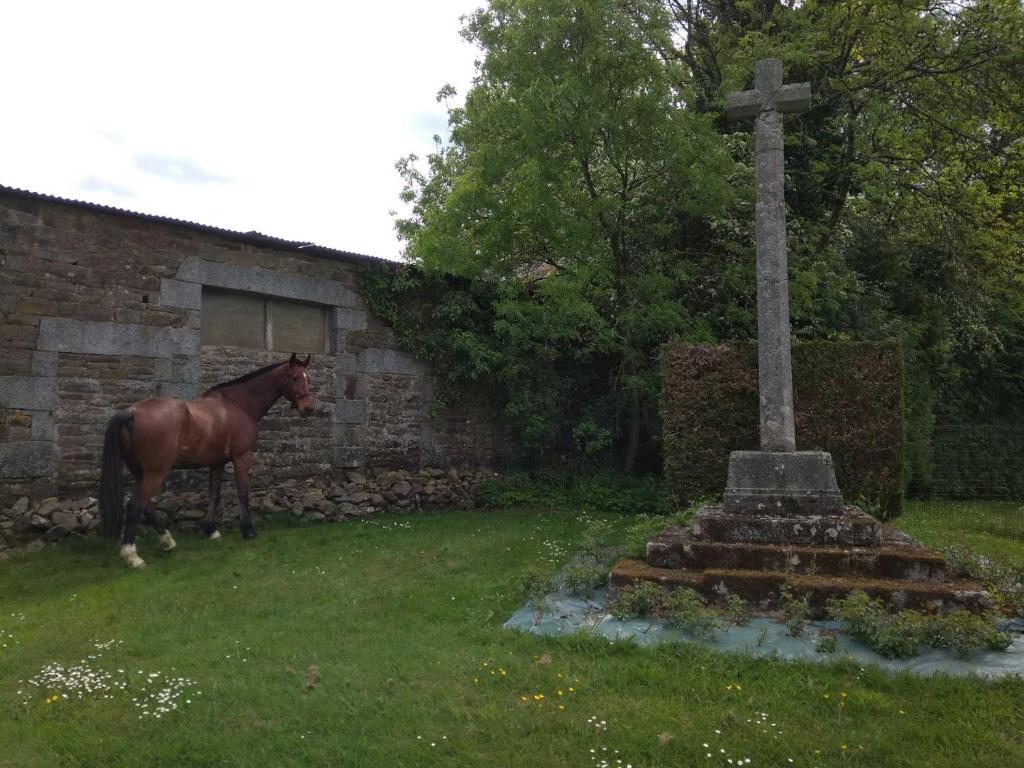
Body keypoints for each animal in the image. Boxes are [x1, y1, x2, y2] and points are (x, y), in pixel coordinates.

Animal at [100, 358, 315, 569]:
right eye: (294, 377)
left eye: (308, 377)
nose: (308, 408)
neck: (238, 404)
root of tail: (131, 412)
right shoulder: (242, 457)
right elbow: (242, 493)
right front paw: (248, 531)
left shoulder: (217, 463)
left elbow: (214, 494)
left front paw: (211, 530)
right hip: (156, 472)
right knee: (135, 505)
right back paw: (132, 556)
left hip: (140, 472)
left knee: (147, 505)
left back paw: (167, 542)